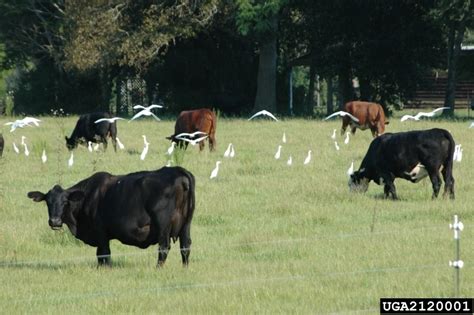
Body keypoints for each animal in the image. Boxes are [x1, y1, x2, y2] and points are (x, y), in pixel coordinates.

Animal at [27, 167, 195, 268]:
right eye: (48, 202)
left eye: (65, 202)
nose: (54, 221)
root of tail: (178, 171)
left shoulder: (101, 231)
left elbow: (103, 253)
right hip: (186, 224)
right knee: (185, 246)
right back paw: (185, 267)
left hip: (163, 226)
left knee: (164, 247)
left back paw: (158, 268)